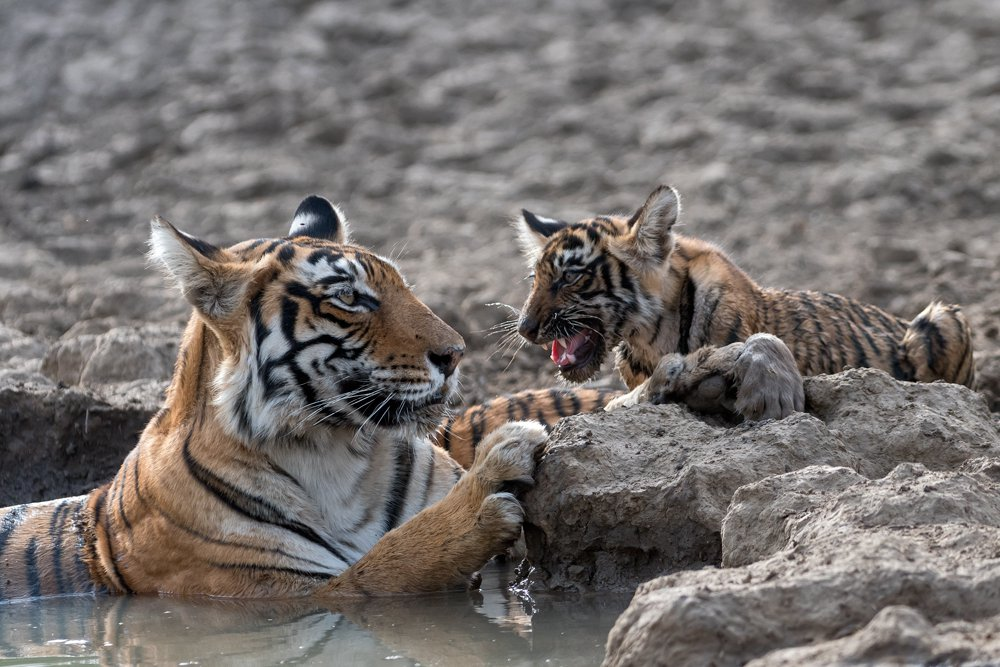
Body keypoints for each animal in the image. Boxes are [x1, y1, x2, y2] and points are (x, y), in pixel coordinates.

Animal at [0, 196, 592, 604]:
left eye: (404, 285)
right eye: (349, 297)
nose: (456, 353)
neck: (332, 452)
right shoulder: (292, 595)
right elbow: (387, 562)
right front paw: (490, 481)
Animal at [512, 185, 972, 418]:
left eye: (571, 276)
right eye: (536, 278)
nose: (525, 329)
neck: (648, 337)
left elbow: (761, 342)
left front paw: (769, 395)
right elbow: (622, 399)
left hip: (943, 317)